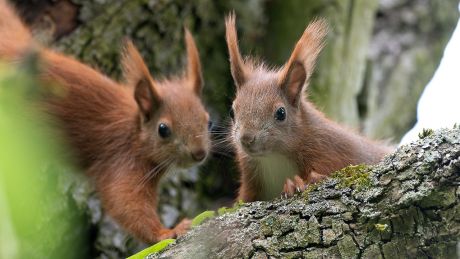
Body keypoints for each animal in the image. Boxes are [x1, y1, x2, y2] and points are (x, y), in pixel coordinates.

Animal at [0, 0, 211, 244]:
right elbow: (125, 203)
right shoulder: (121, 161)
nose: (199, 153)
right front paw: (167, 231)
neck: (134, 131)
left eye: (208, 121)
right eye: (163, 129)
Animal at [225, 13, 390, 202]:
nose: (246, 138)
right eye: (232, 112)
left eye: (281, 113)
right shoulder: (252, 180)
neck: (274, 157)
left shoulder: (333, 151)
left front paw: (294, 184)